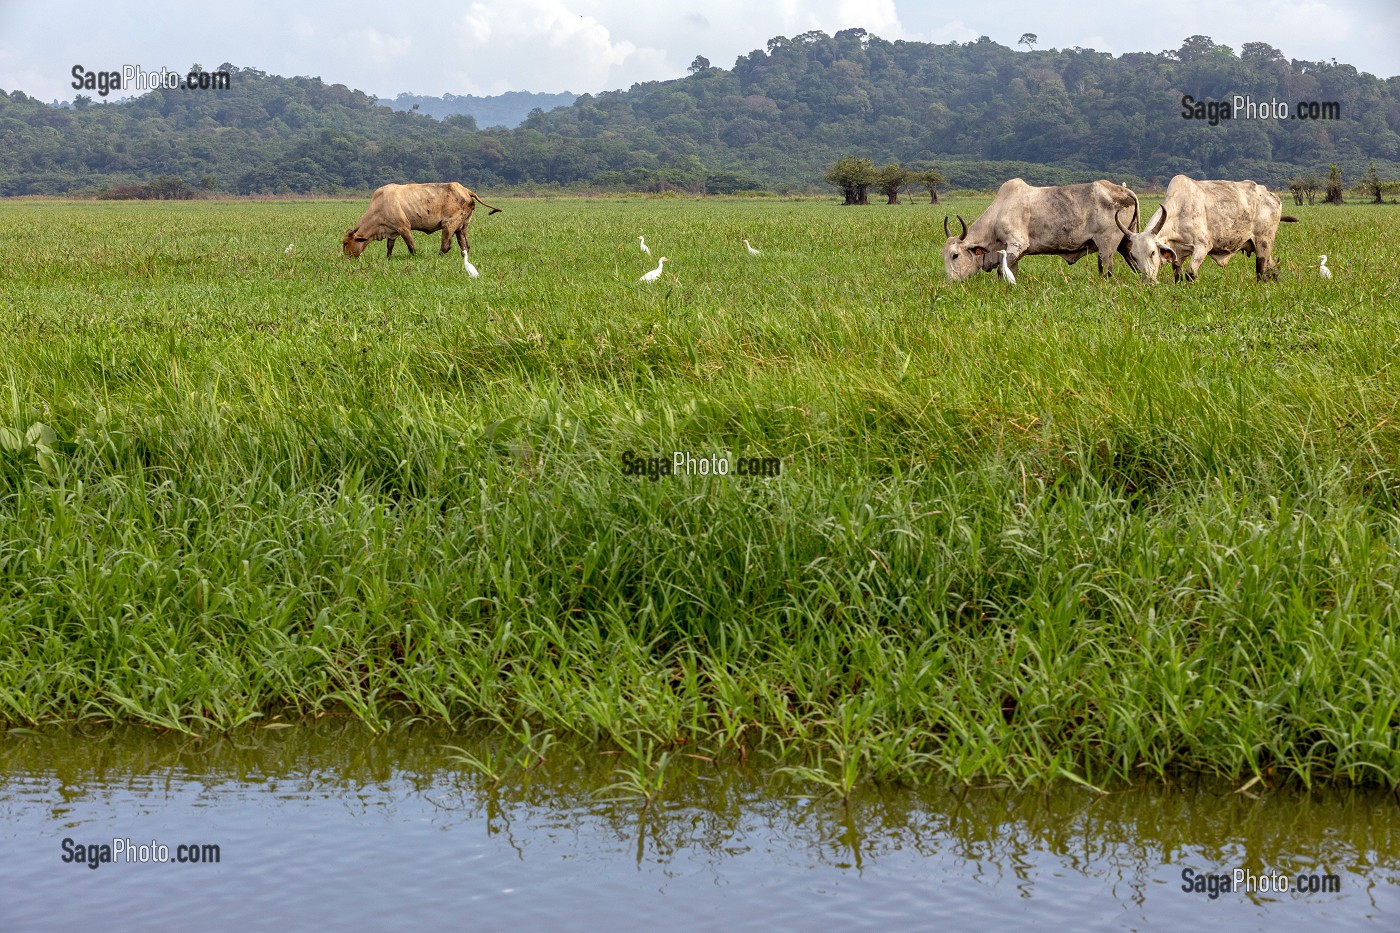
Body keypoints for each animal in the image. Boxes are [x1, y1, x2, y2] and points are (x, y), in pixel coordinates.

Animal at [341, 182, 501, 257]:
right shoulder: (392, 232)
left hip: (449, 224)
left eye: (345, 243)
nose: (346, 258)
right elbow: (389, 247)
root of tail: (466, 190)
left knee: (446, 245)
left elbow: (411, 246)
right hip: (462, 226)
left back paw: (438, 255)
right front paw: (388, 257)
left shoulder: (403, 227)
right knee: (465, 245)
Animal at [940, 177, 1136, 280]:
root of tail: (1121, 189)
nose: (950, 283)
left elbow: (1002, 271)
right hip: (1126, 241)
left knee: (1107, 271)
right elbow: (1011, 271)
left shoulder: (1016, 244)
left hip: (1107, 246)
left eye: (955, 255)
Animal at [1114, 174, 1299, 281]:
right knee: (1273, 268)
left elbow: (1190, 274)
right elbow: (1178, 275)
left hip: (1263, 242)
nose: (1148, 282)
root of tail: (1273, 196)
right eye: (1133, 256)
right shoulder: (1178, 253)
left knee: (1261, 272)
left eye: (1152, 253)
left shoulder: (1202, 246)